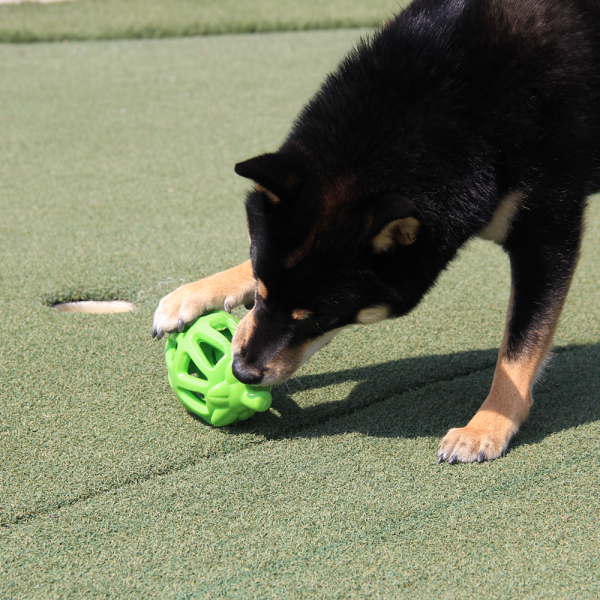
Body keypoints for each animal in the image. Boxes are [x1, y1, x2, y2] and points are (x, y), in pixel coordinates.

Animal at [151, 0, 600, 464]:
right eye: (259, 291)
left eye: (321, 318)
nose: (240, 371)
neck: (467, 102)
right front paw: (199, 292)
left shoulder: (548, 231)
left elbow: (520, 344)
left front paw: (487, 426)